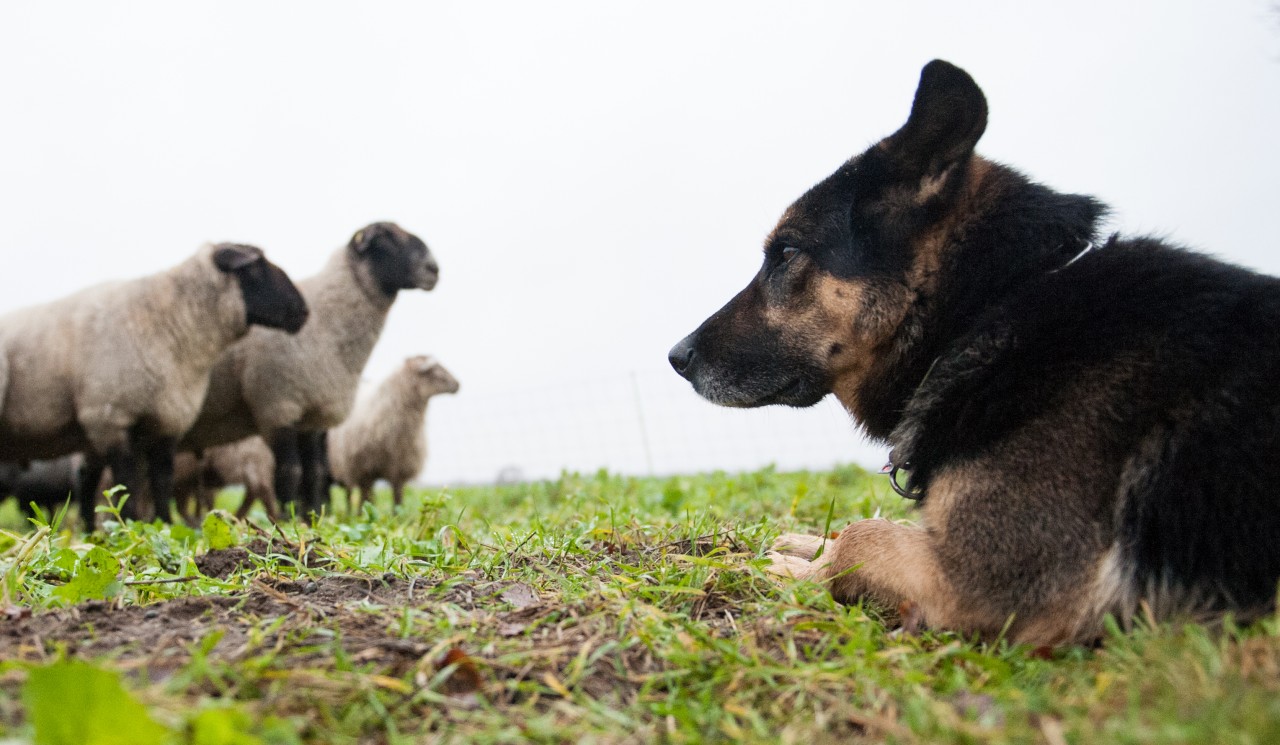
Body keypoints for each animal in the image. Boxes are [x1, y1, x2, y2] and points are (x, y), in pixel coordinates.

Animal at [0, 241, 307, 527]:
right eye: (255, 268)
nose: (303, 311)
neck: (172, 322)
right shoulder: (112, 418)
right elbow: (127, 482)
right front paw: (129, 524)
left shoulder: (166, 418)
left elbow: (160, 480)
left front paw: (162, 523)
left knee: (88, 481)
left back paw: (91, 530)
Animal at [177, 220, 440, 519]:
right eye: (386, 239)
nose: (434, 269)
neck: (327, 322)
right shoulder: (279, 406)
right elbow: (290, 472)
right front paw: (288, 518)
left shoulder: (314, 416)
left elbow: (314, 473)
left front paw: (313, 517)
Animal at [327, 358, 458, 512]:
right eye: (436, 372)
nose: (458, 385)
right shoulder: (364, 470)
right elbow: (363, 497)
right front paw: (361, 514)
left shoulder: (399, 469)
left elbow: (397, 499)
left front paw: (397, 515)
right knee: (351, 494)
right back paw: (350, 512)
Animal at [665, 61, 1280, 645]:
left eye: (787, 252)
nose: (676, 357)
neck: (993, 312)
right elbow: (856, 528)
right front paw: (805, 544)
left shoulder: (991, 583)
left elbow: (865, 536)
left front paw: (795, 569)